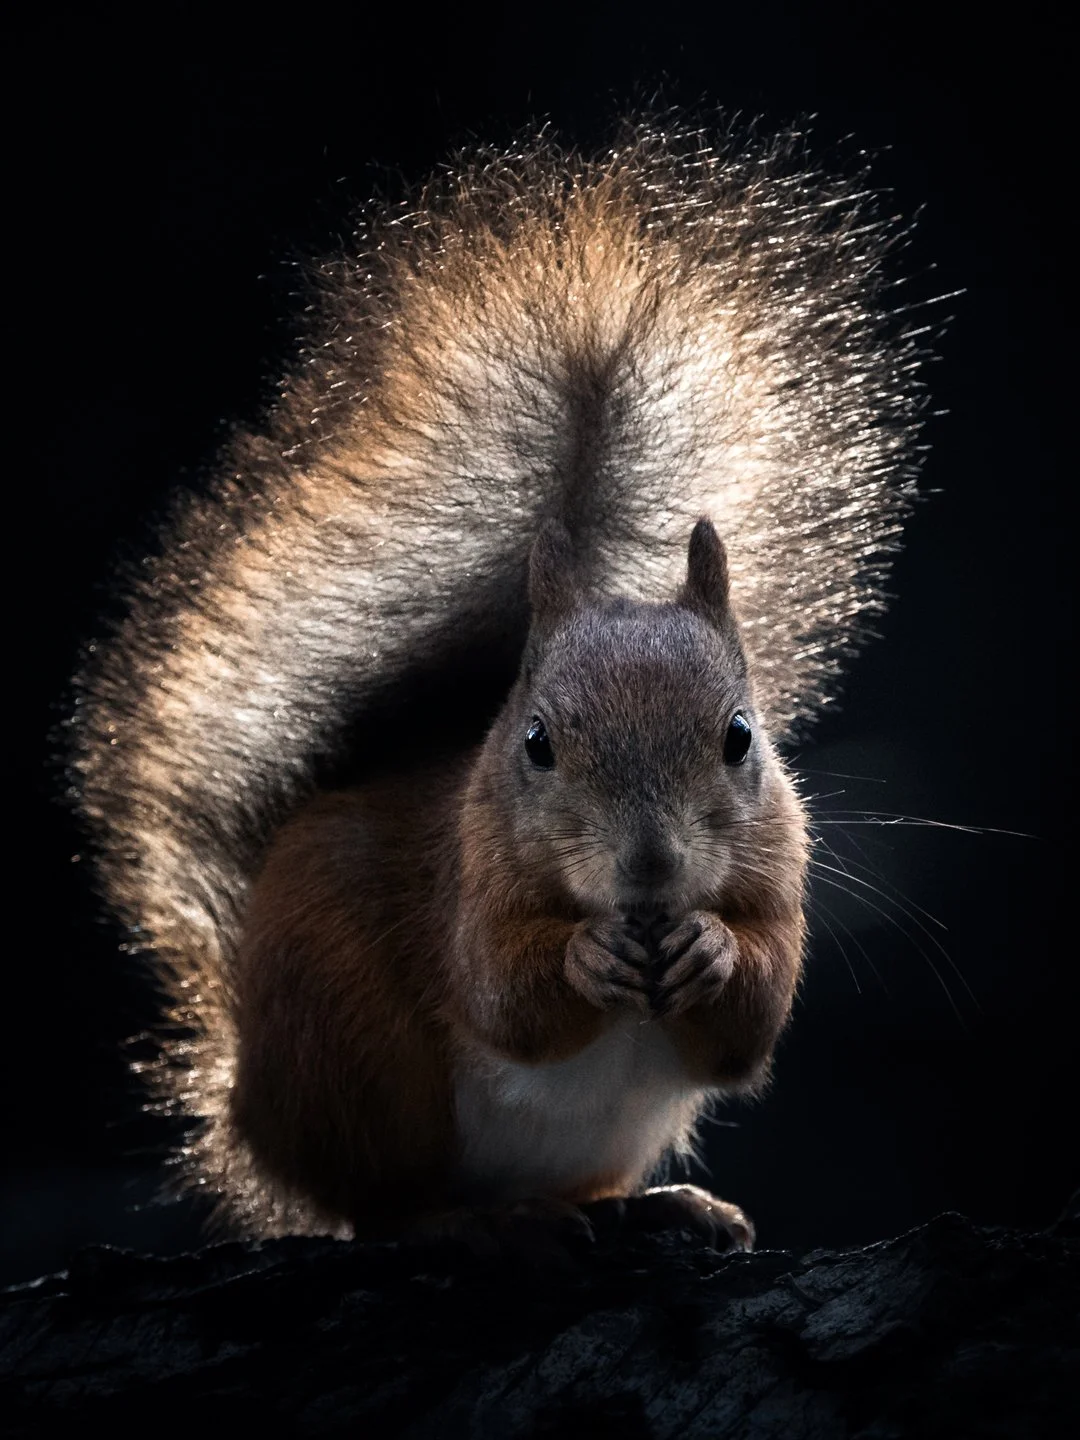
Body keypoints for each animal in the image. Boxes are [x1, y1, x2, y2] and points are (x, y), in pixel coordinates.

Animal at [71, 120, 925, 1248]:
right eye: (537, 743)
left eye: (741, 736)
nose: (650, 868)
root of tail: (252, 1115)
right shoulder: (463, 880)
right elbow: (503, 993)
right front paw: (583, 959)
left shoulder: (781, 878)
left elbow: (750, 1022)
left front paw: (709, 948)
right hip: (360, 1062)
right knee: (378, 1206)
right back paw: (472, 1217)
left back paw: (660, 1202)